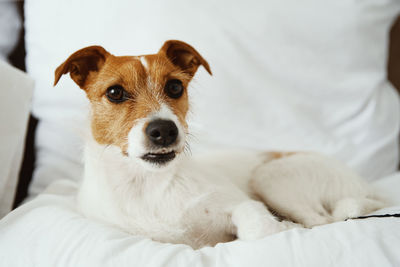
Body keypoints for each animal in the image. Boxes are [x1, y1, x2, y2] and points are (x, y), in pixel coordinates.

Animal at [54, 39, 386, 249]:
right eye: (114, 93)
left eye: (175, 87)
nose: (164, 130)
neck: (148, 185)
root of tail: (366, 186)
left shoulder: (242, 206)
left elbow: (259, 229)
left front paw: (281, 228)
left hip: (271, 176)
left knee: (322, 221)